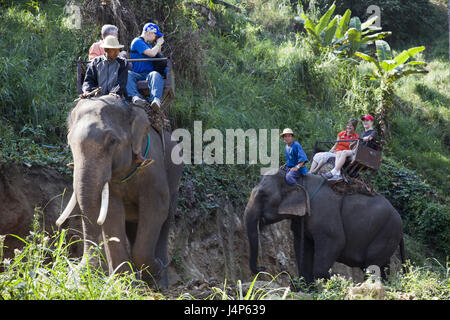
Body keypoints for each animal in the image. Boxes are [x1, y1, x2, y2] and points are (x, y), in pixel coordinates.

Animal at [56, 95, 183, 288]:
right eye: (69, 141)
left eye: (112, 141)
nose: (78, 272)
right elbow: (112, 214)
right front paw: (123, 285)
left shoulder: (153, 166)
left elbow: (156, 208)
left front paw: (153, 273)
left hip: (174, 172)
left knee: (166, 219)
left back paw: (160, 280)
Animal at [244, 169, 406, 284]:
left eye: (263, 196)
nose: (263, 268)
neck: (298, 179)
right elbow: (303, 246)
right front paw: (309, 290)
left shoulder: (324, 213)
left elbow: (336, 241)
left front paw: (332, 283)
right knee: (382, 268)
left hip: (387, 233)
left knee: (372, 266)